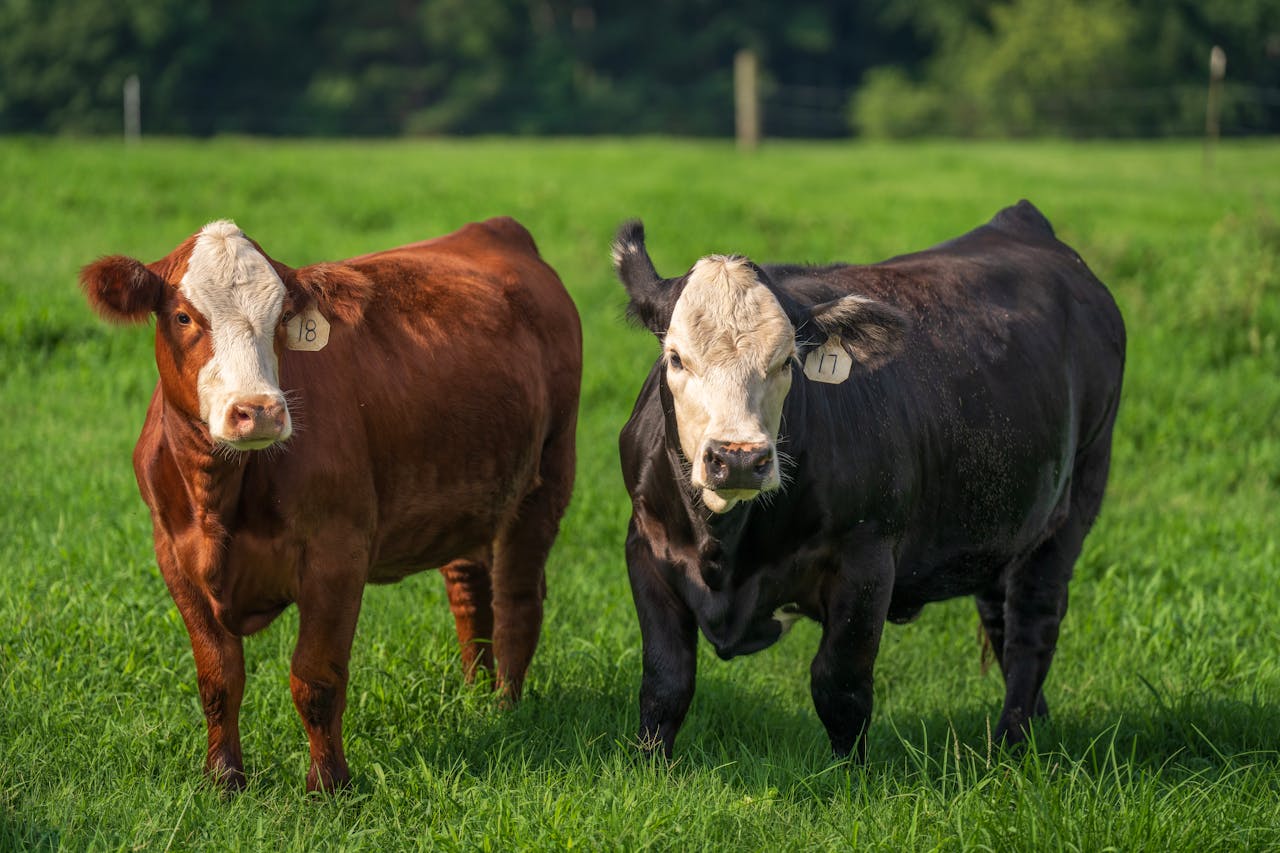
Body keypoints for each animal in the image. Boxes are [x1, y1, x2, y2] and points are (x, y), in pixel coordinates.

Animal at [80, 217, 581, 792]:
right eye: (184, 316)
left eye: (282, 320)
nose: (259, 410)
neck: (217, 495)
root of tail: (496, 229)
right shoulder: (174, 557)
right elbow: (218, 679)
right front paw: (224, 778)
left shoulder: (336, 554)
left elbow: (315, 678)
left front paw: (328, 785)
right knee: (469, 589)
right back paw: (474, 693)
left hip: (548, 476)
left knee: (517, 596)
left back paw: (504, 706)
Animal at [614, 201, 1125, 761]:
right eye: (676, 358)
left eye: (786, 360)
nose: (739, 458)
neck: (724, 549)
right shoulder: (646, 546)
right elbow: (666, 680)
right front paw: (652, 766)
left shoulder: (866, 560)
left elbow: (839, 687)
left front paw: (848, 774)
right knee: (1001, 614)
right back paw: (1033, 723)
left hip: (1075, 501)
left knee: (1033, 621)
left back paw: (1011, 744)